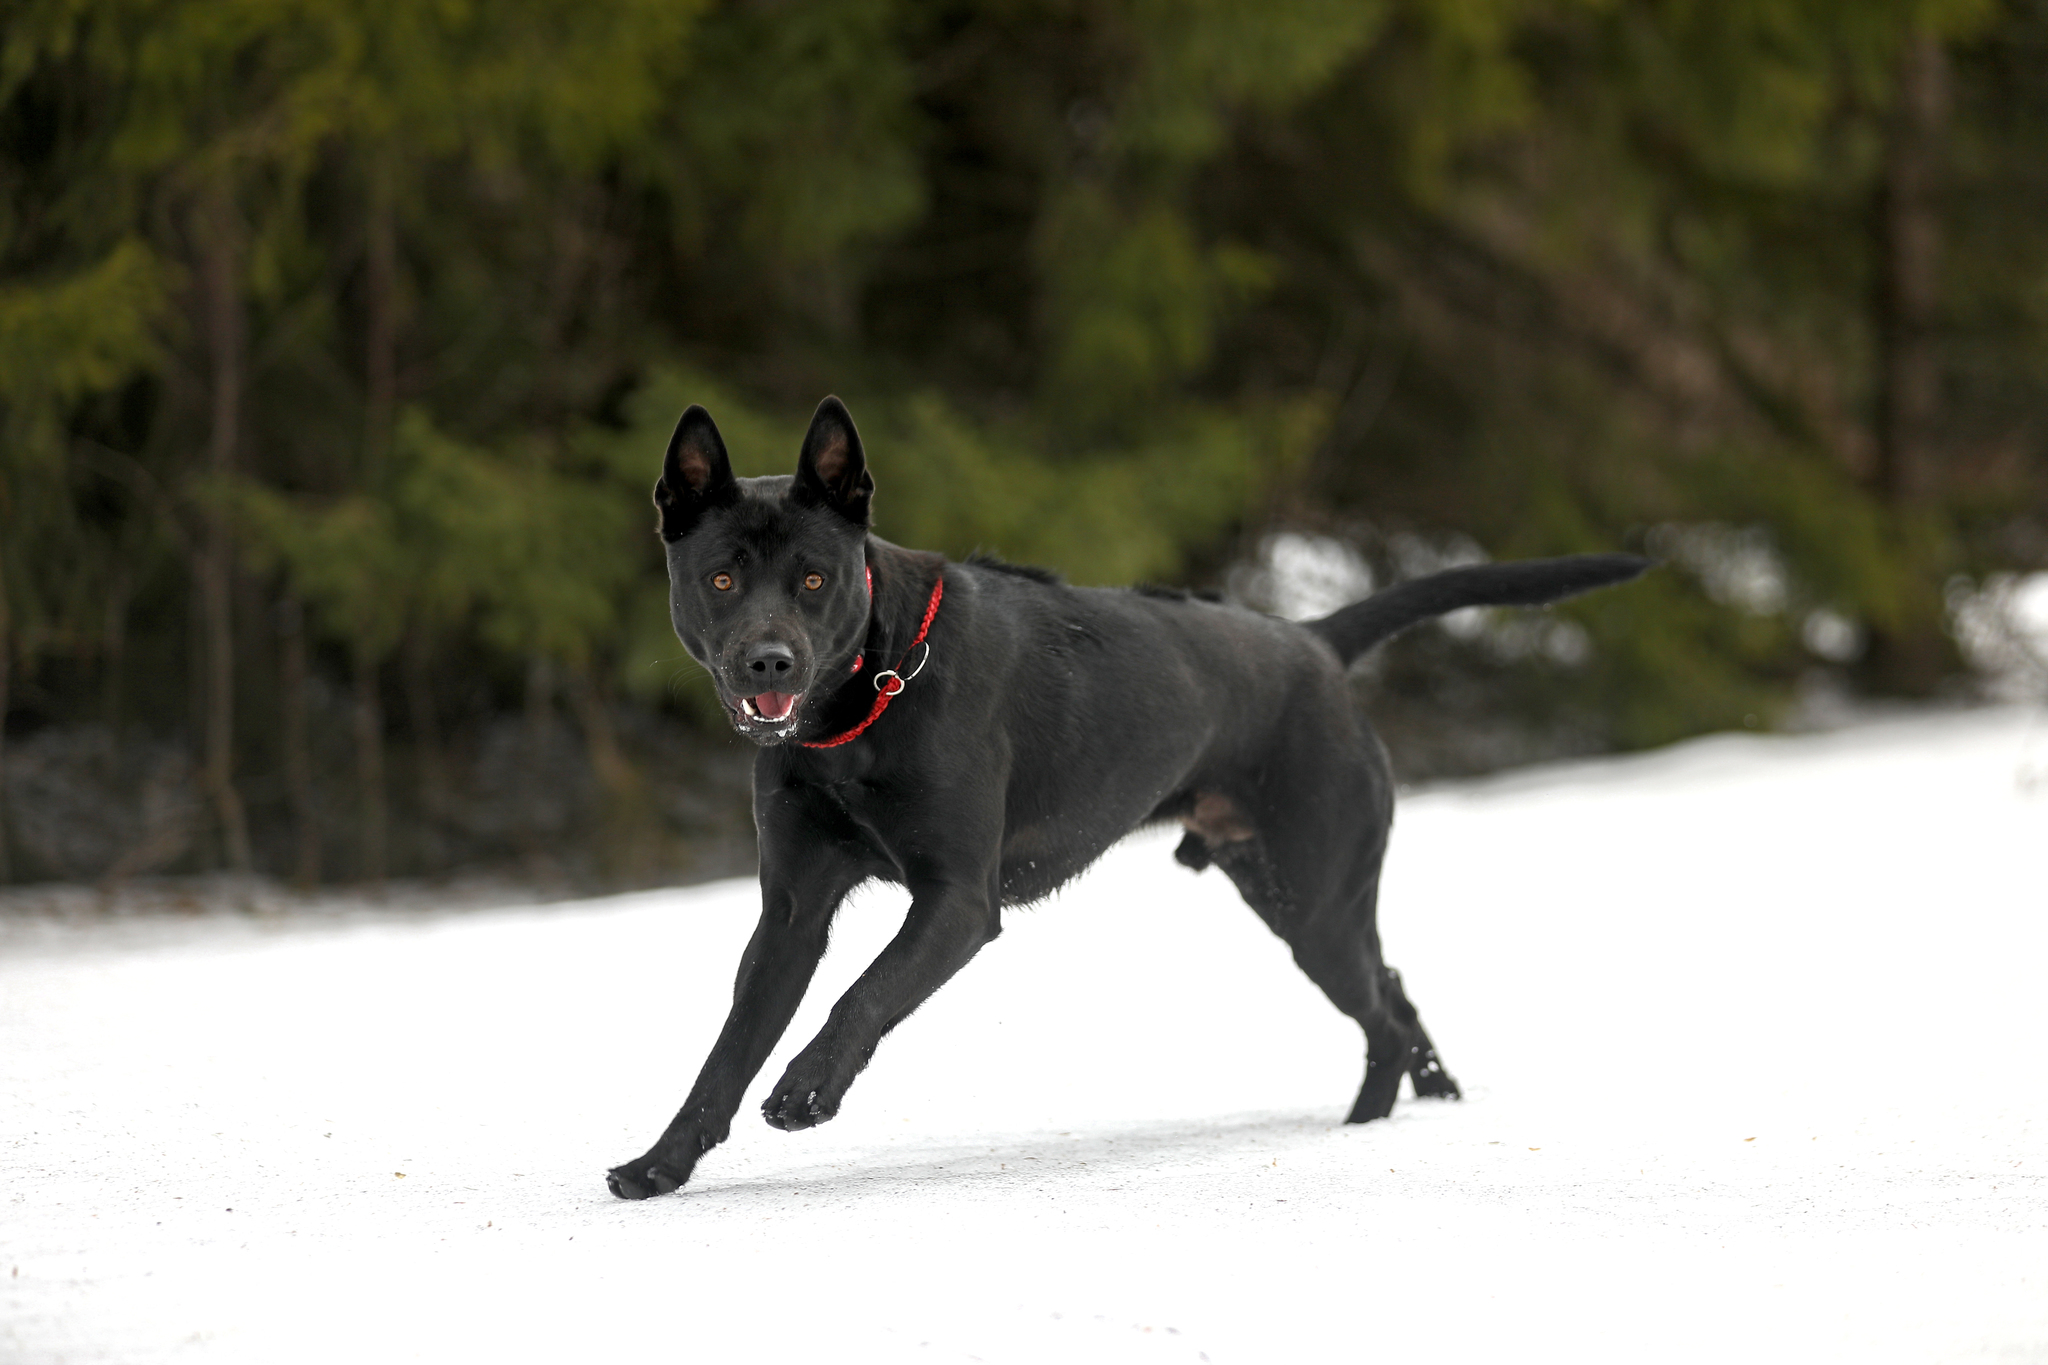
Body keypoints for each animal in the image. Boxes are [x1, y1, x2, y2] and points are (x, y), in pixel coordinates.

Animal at [606, 401, 1646, 1203]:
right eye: (722, 577)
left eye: (816, 578)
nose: (768, 662)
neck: (862, 709)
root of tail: (1314, 641)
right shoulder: (790, 914)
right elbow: (725, 1053)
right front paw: (660, 1165)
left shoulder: (957, 900)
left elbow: (863, 994)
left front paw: (808, 1088)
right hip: (1288, 890)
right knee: (1394, 989)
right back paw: (1430, 1097)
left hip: (1314, 897)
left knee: (1382, 1013)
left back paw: (1360, 1125)